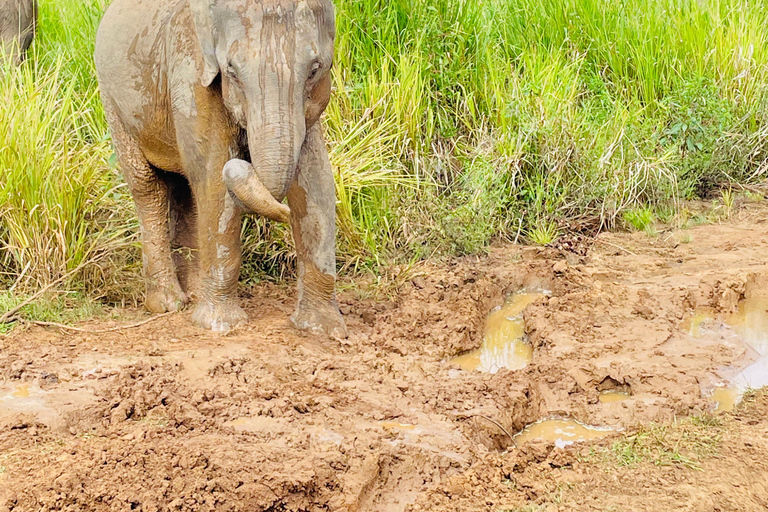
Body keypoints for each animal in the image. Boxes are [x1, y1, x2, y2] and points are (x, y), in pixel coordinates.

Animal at [93, 0, 348, 340]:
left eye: (315, 69)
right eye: (232, 72)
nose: (282, 214)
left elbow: (316, 178)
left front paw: (323, 330)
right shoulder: (191, 71)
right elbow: (214, 174)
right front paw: (220, 326)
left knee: (185, 188)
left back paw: (194, 293)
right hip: (114, 104)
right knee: (149, 187)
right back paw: (168, 304)